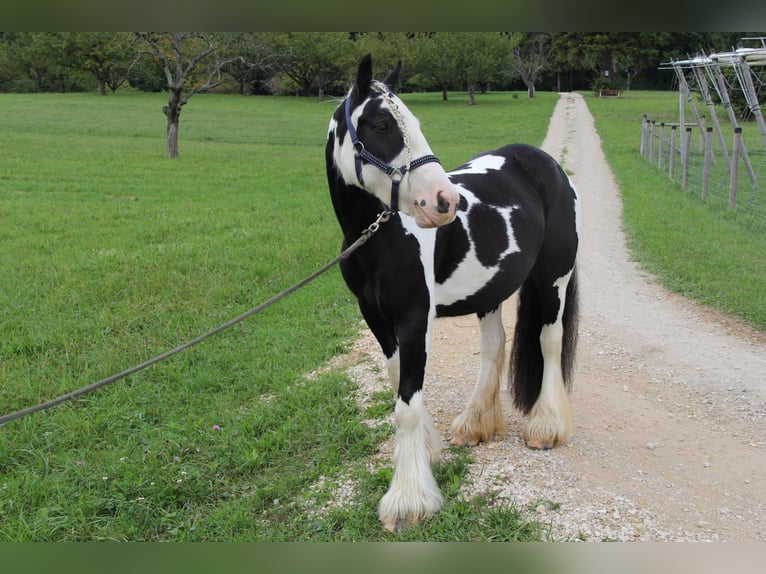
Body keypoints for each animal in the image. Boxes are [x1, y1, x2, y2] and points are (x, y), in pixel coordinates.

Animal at [324, 56, 584, 532]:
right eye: (382, 125)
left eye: (414, 122)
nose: (443, 201)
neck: (380, 238)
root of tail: (549, 167)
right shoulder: (376, 317)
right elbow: (397, 384)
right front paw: (428, 451)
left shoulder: (414, 320)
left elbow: (406, 405)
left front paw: (408, 500)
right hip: (490, 292)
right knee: (495, 346)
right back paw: (476, 424)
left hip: (553, 280)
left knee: (549, 341)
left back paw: (546, 428)